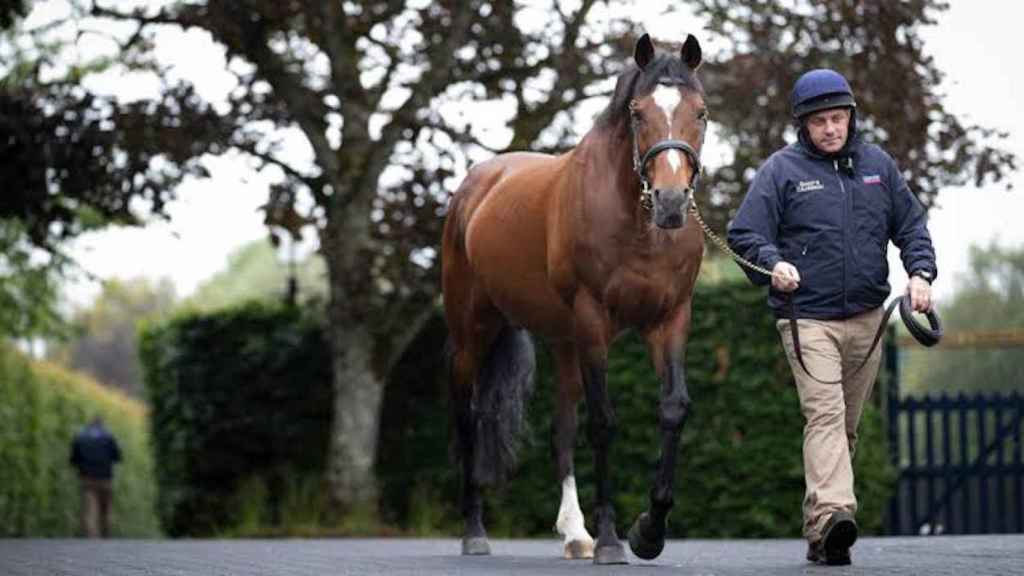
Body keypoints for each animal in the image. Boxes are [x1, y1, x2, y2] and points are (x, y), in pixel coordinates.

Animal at [444, 33, 708, 561]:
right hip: (473, 332)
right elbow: (603, 423)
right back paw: (475, 531)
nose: (671, 203)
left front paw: (649, 531)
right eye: (637, 113)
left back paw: (575, 534)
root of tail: (474, 188)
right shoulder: (593, 321)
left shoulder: (670, 320)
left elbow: (674, 408)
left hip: (564, 341)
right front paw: (611, 540)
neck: (638, 223)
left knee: (559, 430)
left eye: (702, 112)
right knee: (468, 417)